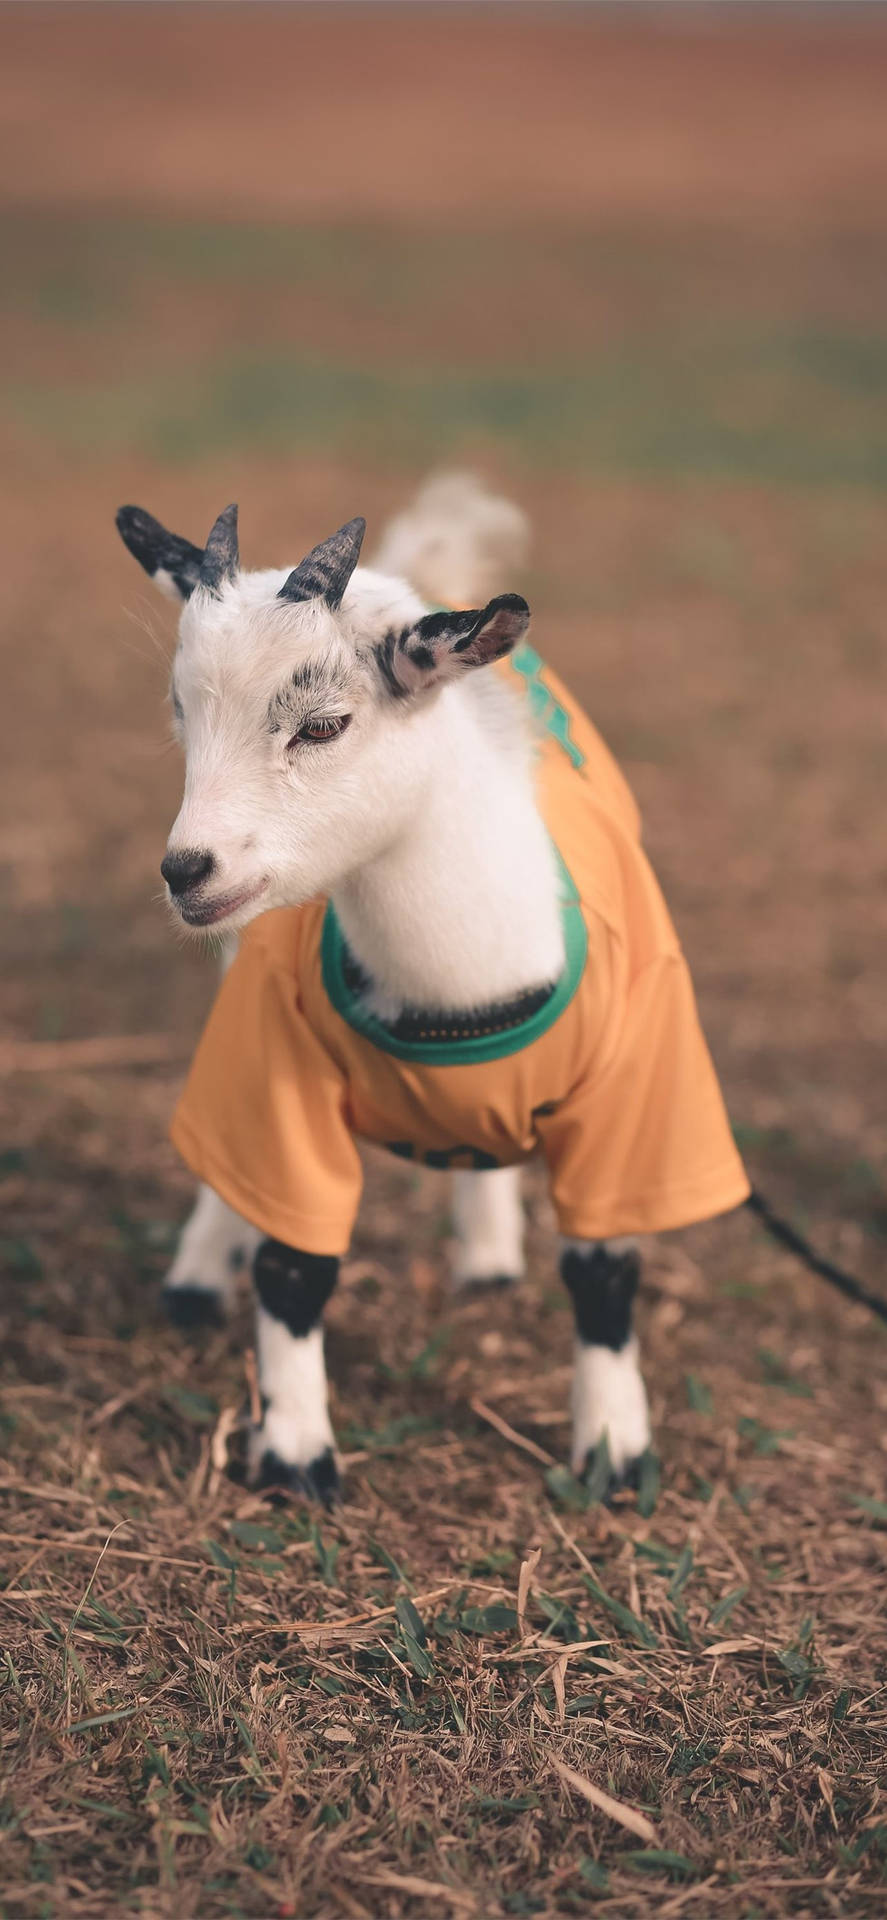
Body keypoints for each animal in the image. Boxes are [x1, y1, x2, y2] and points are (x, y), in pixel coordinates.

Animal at [114, 472, 744, 1505]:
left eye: (323, 724)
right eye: (179, 711)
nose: (186, 872)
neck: (457, 992)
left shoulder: (636, 1093)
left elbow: (606, 1270)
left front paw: (614, 1454)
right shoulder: (278, 1063)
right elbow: (292, 1260)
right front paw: (294, 1455)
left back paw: (486, 1256)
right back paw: (198, 1278)